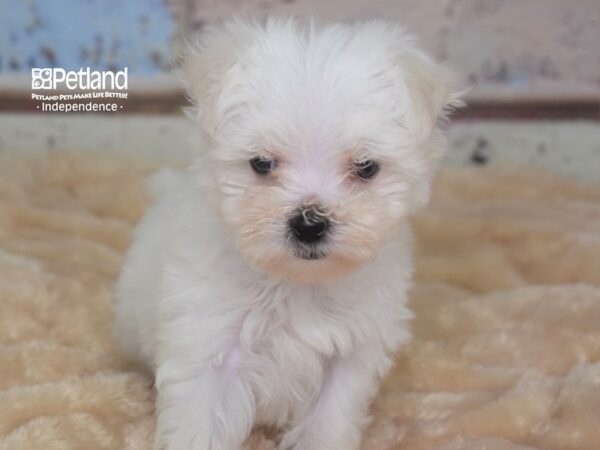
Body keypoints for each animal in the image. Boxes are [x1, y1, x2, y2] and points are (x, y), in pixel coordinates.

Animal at [116, 17, 460, 450]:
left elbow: (328, 422)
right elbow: (200, 425)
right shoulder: (207, 346)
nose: (309, 222)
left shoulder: (350, 356)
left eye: (366, 167)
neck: (297, 283)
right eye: (262, 163)